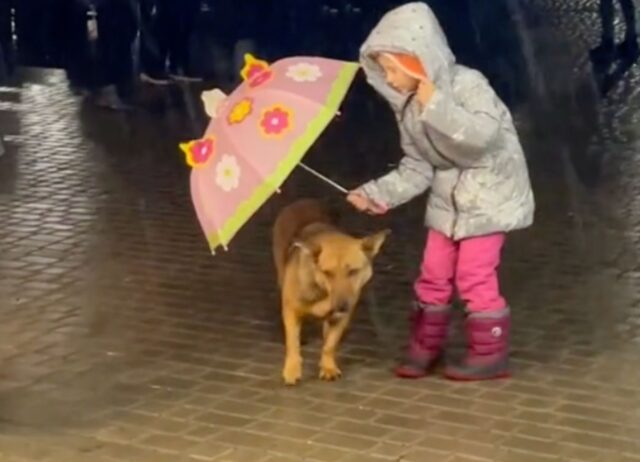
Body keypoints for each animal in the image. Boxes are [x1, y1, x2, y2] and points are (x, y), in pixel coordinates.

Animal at [272, 199, 388, 386]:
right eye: (327, 273)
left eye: (353, 271)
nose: (341, 305)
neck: (323, 292)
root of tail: (303, 200)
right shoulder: (291, 310)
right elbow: (292, 343)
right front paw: (292, 370)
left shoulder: (341, 318)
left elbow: (329, 345)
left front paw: (328, 367)